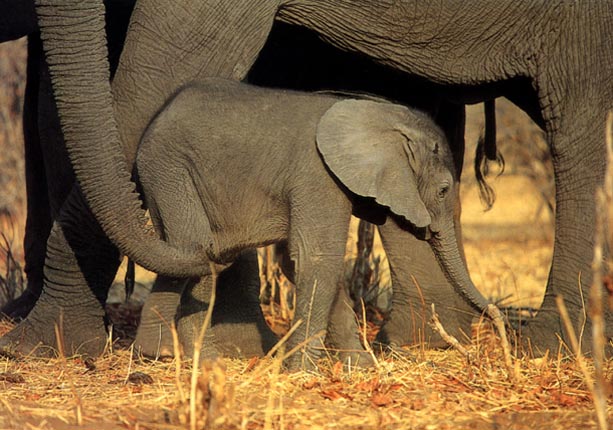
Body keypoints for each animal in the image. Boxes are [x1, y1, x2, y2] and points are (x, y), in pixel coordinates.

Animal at [135, 77, 488, 370]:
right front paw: (301, 373)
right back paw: (202, 362)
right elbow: (317, 260)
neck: (380, 116)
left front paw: (362, 368)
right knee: (194, 246)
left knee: (184, 255)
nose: (494, 317)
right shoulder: (317, 174)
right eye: (443, 190)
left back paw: (170, 356)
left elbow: (302, 265)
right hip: (170, 170)